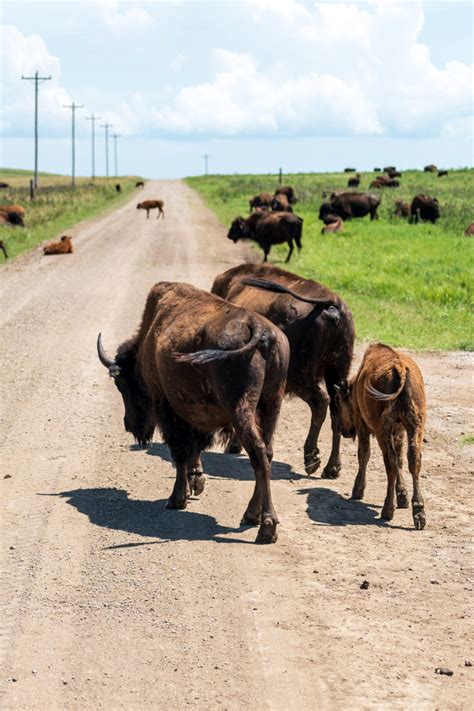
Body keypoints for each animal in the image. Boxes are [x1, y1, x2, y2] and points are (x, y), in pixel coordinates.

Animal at [96, 280, 288, 544]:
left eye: (122, 384)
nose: (129, 423)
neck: (149, 337)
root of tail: (257, 328)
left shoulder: (167, 407)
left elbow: (180, 451)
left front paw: (176, 499)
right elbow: (194, 449)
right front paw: (195, 481)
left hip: (241, 409)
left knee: (257, 454)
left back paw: (266, 526)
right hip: (272, 405)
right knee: (267, 453)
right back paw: (251, 515)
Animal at [212, 266, 356, 478]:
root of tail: (332, 305)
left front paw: (233, 446)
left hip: (300, 377)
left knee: (320, 401)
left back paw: (311, 459)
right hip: (336, 374)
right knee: (335, 411)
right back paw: (331, 468)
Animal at [334, 342, 430, 532]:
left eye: (339, 402)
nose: (343, 430)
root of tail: (400, 369)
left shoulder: (362, 424)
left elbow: (364, 454)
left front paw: (357, 490)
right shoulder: (399, 431)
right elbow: (401, 460)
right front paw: (402, 497)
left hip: (382, 430)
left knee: (390, 462)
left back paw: (387, 510)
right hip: (416, 425)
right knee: (413, 460)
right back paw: (419, 514)